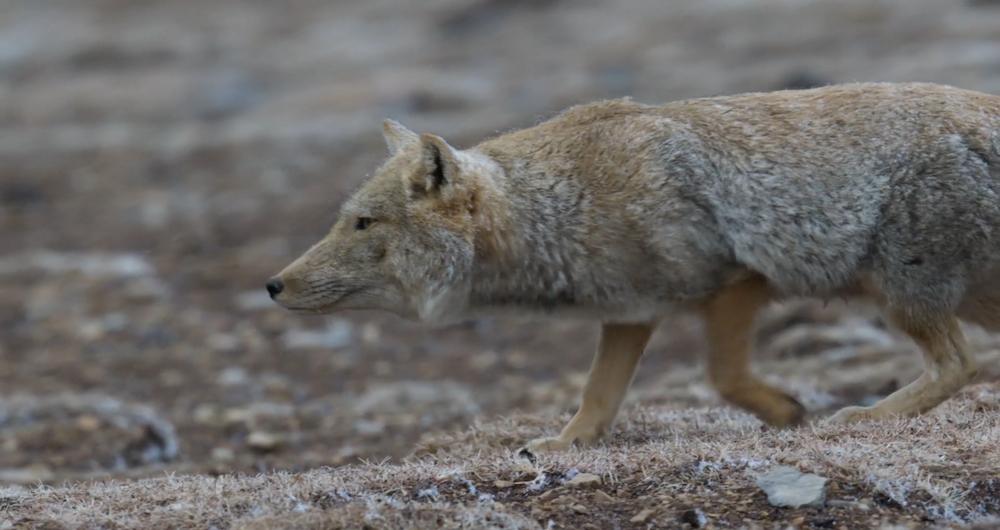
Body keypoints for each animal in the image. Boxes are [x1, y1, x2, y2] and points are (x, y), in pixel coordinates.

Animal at [268, 81, 1000, 450]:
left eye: (362, 223)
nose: (273, 285)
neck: (560, 201)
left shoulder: (735, 281)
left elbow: (723, 376)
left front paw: (788, 413)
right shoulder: (630, 312)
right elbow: (597, 398)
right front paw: (562, 445)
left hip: (904, 296)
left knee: (960, 365)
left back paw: (865, 418)